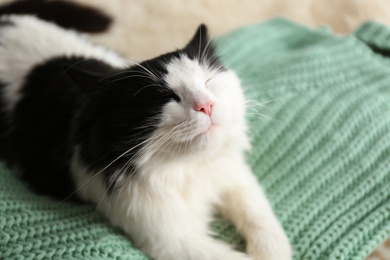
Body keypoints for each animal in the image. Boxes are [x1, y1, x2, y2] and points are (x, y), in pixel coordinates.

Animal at [0, 12, 292, 260]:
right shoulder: (169, 238)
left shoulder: (232, 173)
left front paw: (271, 251)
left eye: (208, 81)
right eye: (166, 97)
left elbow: (260, 216)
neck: (188, 170)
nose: (206, 105)